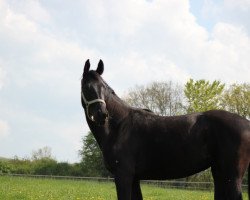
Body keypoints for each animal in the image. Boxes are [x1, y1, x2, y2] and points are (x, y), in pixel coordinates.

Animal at [81, 58, 249, 199]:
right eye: (87, 87)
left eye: (105, 88)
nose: (102, 114)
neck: (119, 127)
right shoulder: (134, 178)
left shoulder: (123, 176)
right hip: (219, 173)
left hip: (232, 176)